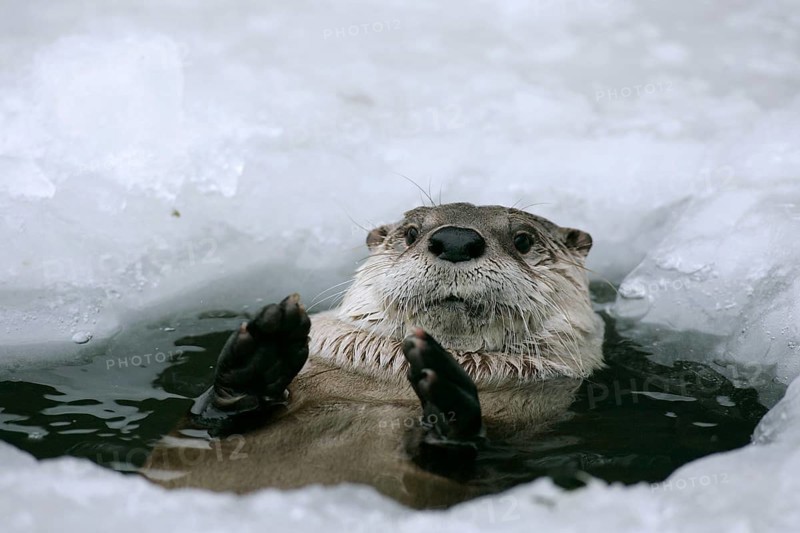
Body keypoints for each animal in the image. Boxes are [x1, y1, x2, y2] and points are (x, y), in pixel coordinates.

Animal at [142, 202, 604, 509]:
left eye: (523, 240)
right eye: (412, 232)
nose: (456, 239)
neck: (382, 384)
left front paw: (446, 401)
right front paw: (263, 356)